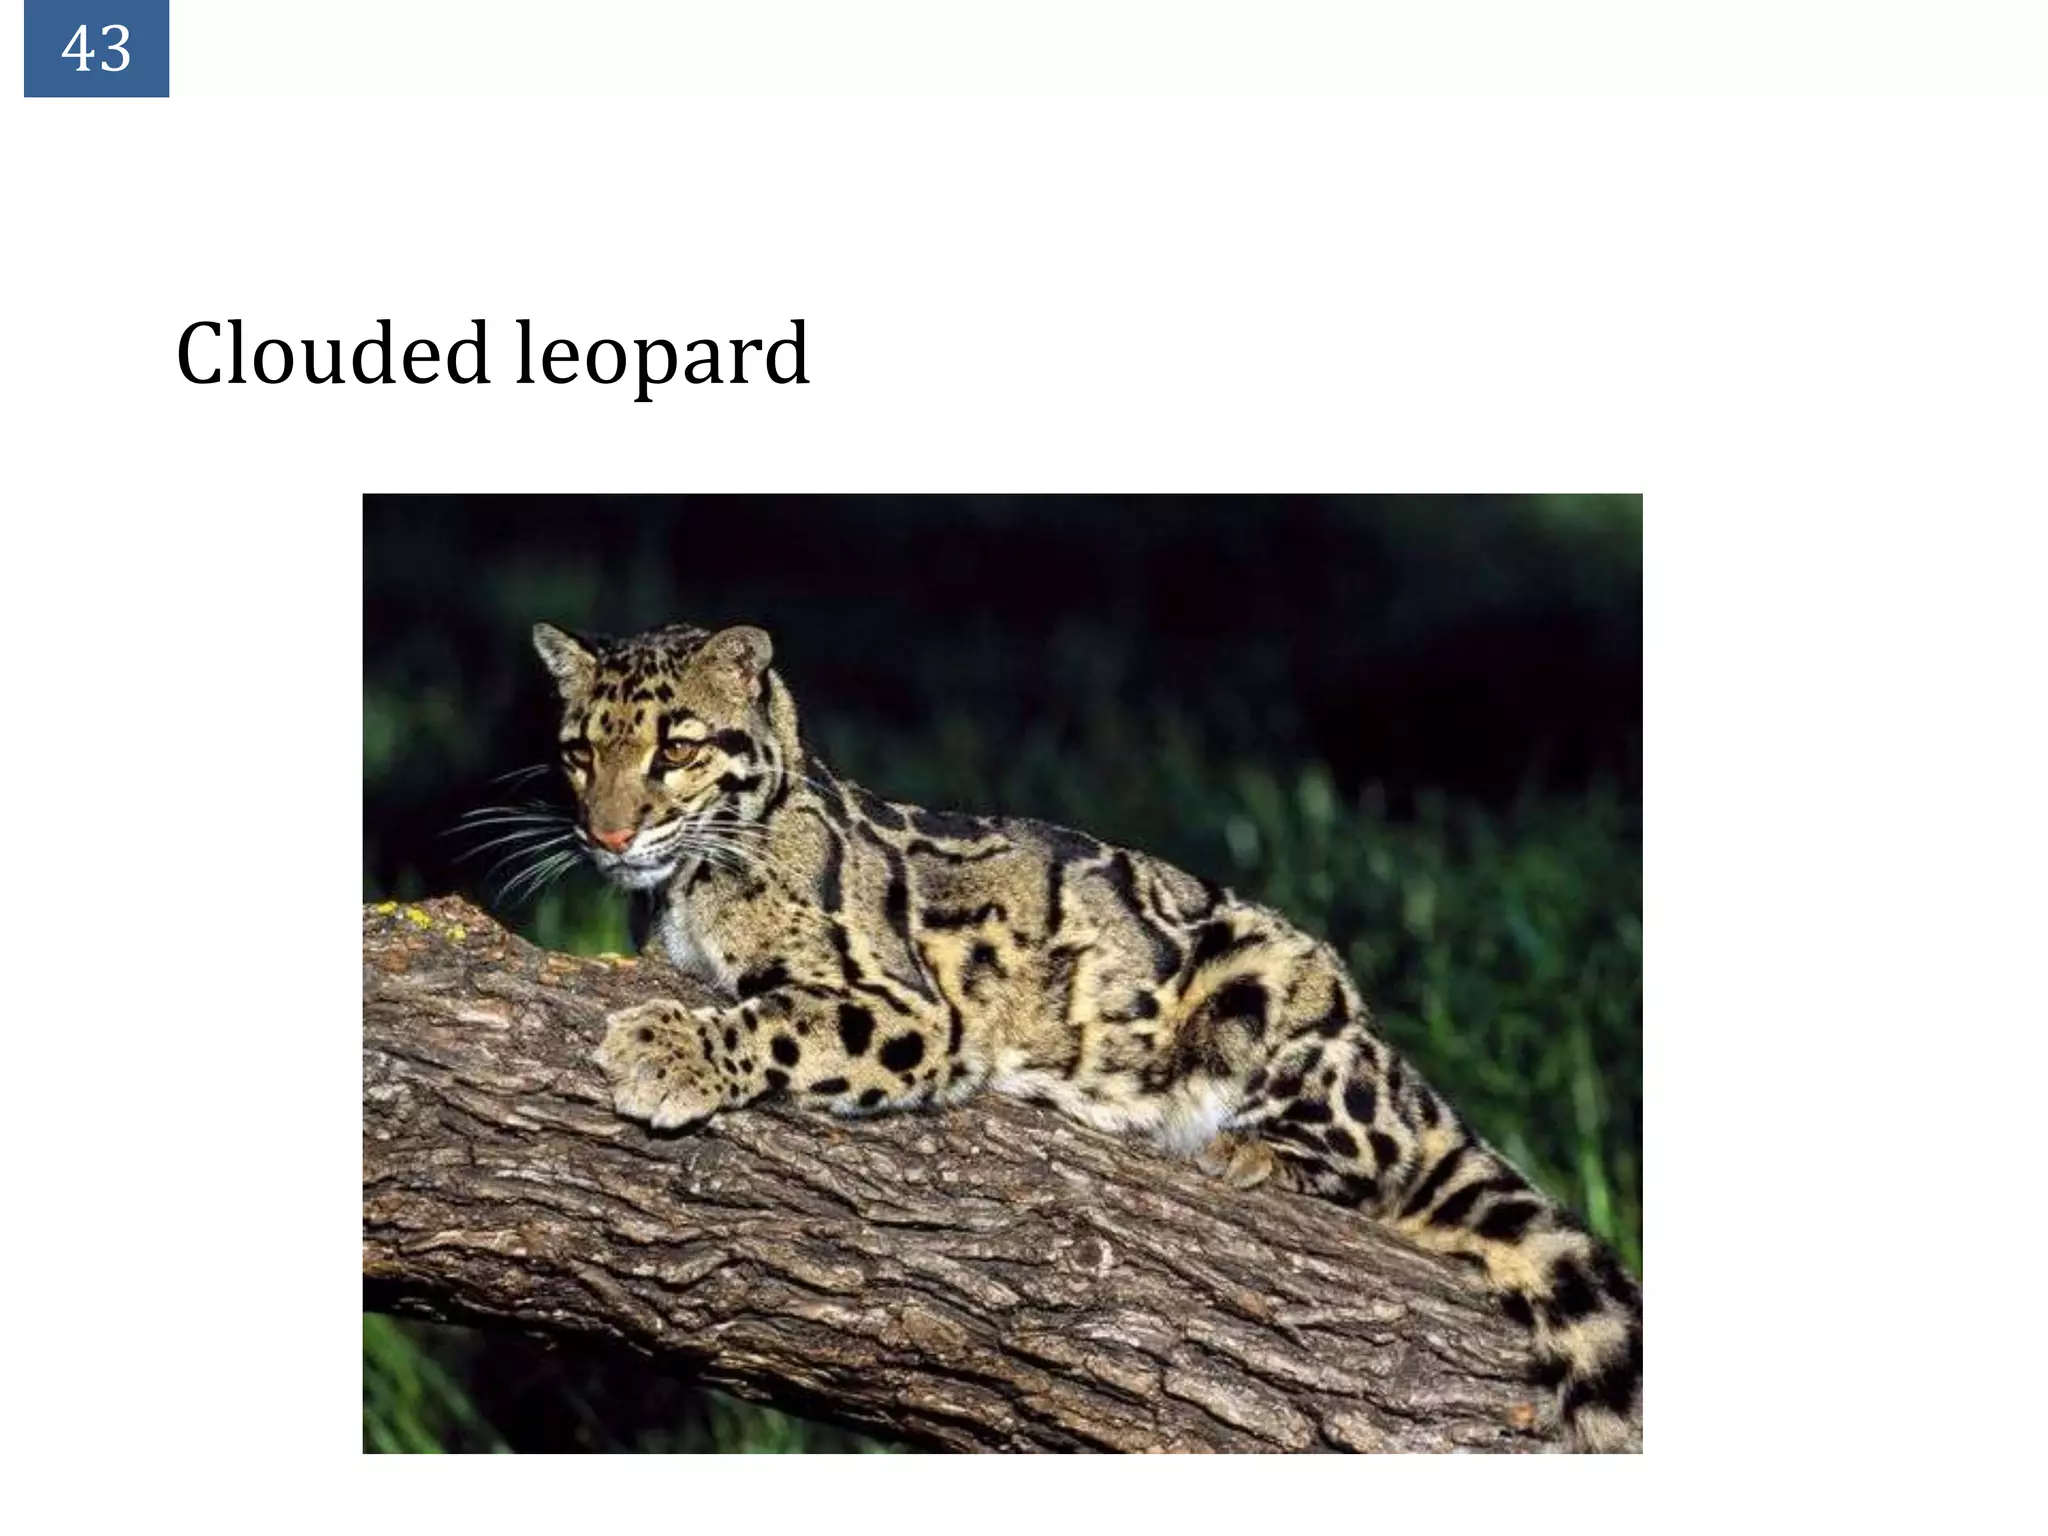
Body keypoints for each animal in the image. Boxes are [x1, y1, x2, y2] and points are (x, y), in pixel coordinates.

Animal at [528, 618, 1643, 1451]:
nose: (607, 834)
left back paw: (1254, 1150)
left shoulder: (907, 1008)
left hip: (1272, 986)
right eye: (579, 751)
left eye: (675, 747)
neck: (685, 886)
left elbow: (780, 1019)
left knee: (1381, 1146)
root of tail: (1376, 1040)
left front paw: (666, 1052)